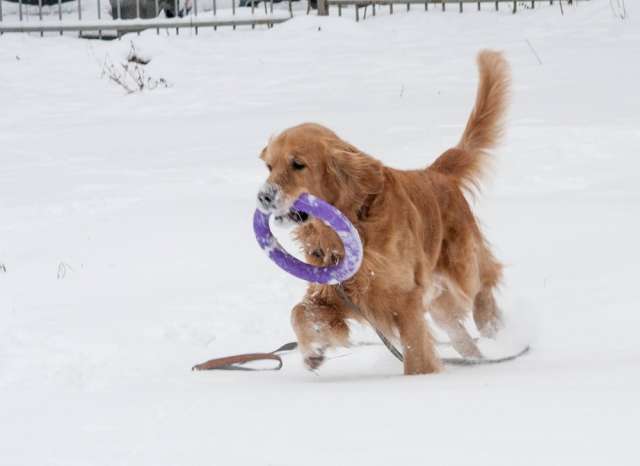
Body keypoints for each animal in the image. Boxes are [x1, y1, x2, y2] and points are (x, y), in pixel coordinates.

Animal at [255, 50, 510, 374]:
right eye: (269, 166)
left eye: (298, 164)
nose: (263, 196)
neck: (354, 222)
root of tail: (437, 173)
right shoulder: (337, 292)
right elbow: (299, 311)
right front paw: (313, 349)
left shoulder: (405, 297)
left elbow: (415, 348)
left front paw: (419, 376)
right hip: (439, 300)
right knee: (458, 329)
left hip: (460, 266)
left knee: (483, 283)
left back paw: (493, 325)